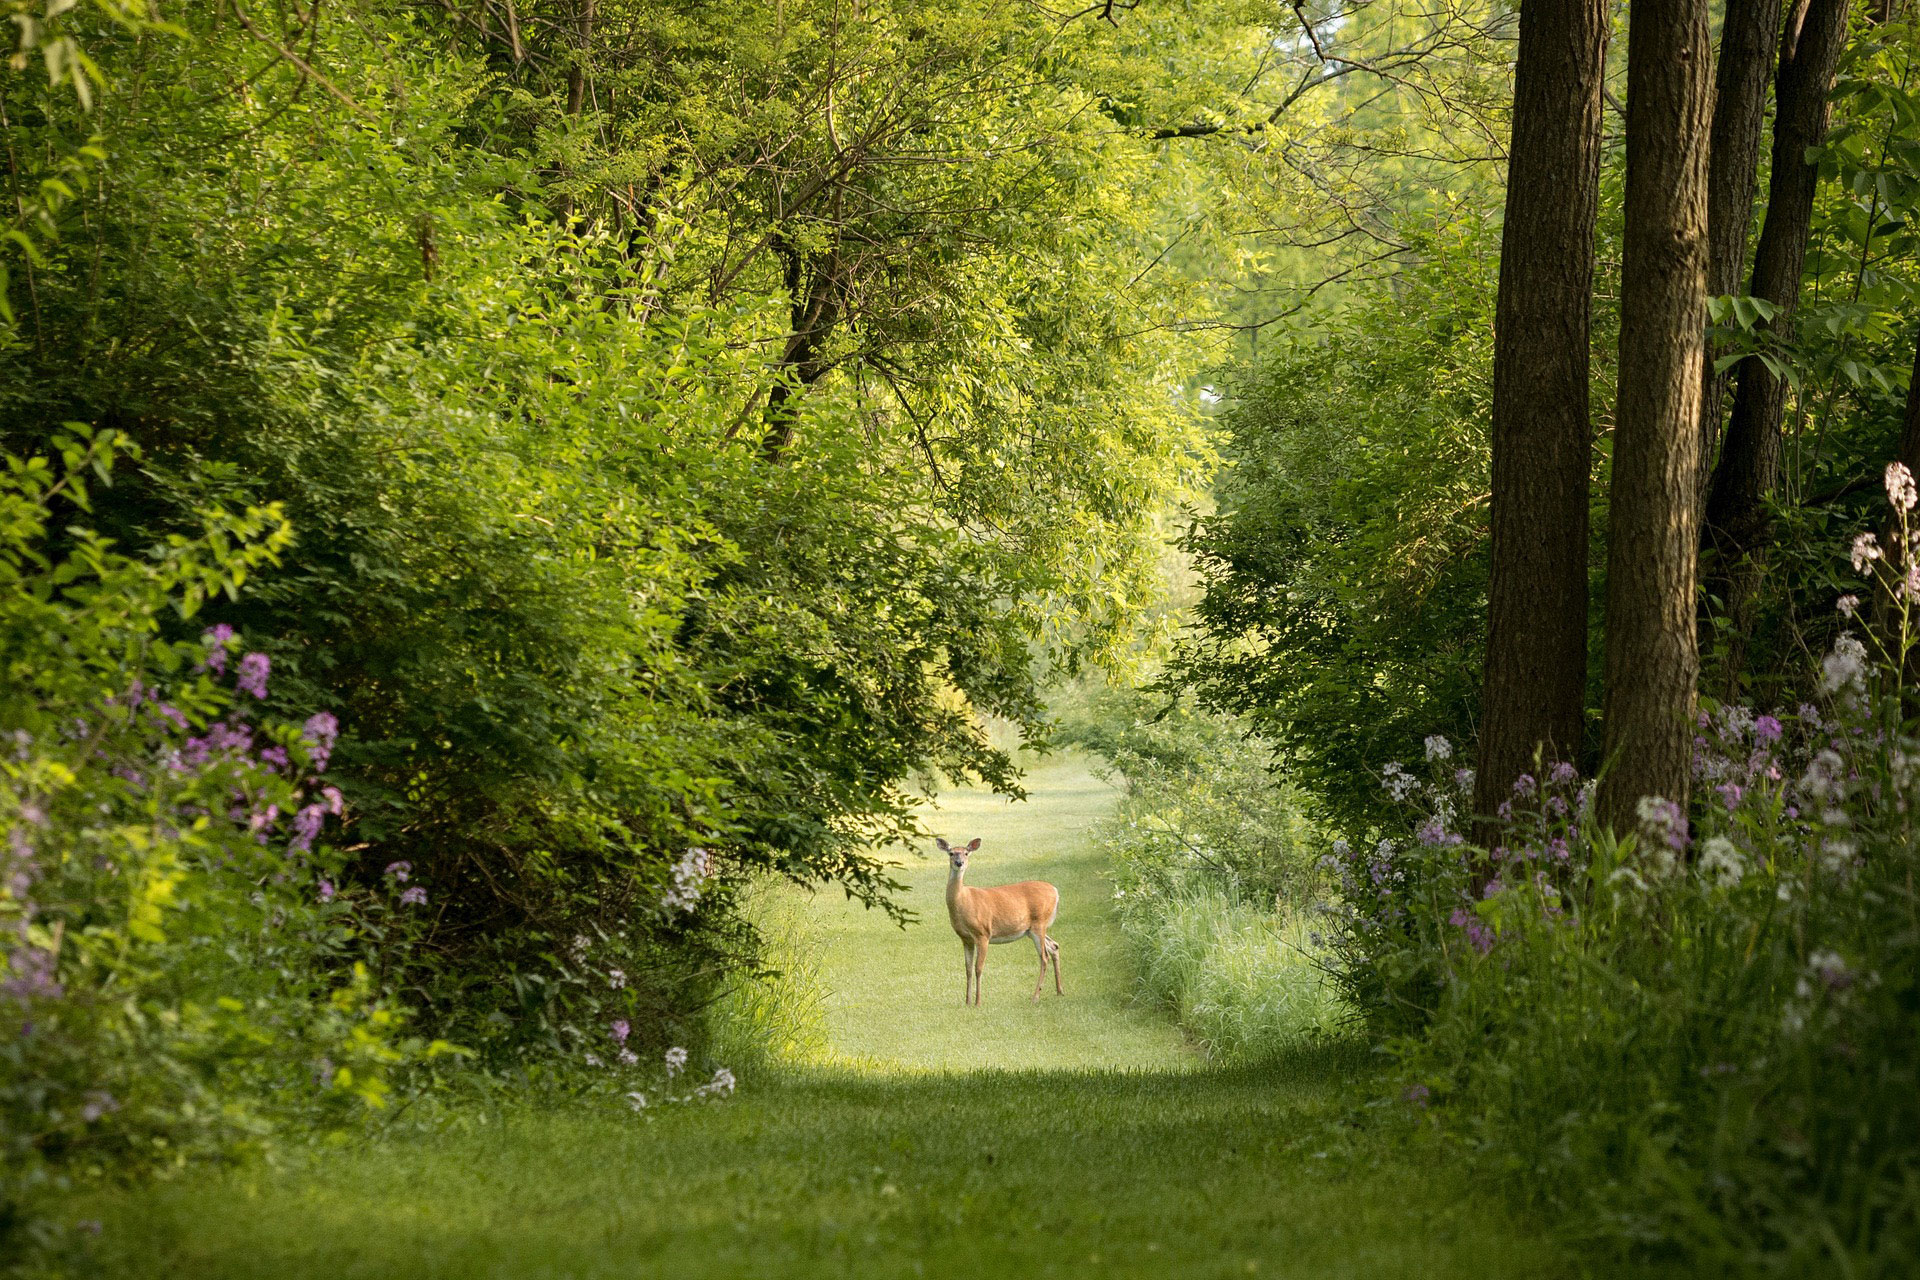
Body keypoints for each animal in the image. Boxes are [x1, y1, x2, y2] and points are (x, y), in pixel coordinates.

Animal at [933, 836, 1067, 1005]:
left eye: (966, 853)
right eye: (951, 853)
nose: (959, 863)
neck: (963, 901)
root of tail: (1055, 891)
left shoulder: (983, 933)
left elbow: (978, 968)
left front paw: (978, 1002)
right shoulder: (965, 938)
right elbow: (968, 969)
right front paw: (967, 1002)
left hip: (1039, 923)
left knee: (1044, 957)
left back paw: (1035, 997)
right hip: (1031, 929)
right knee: (1054, 946)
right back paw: (1059, 991)